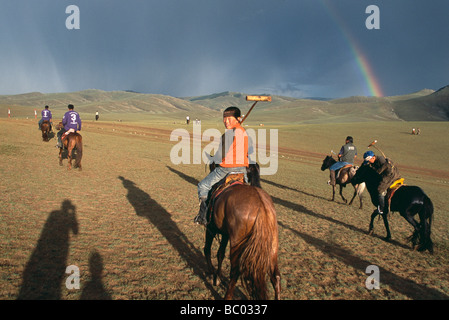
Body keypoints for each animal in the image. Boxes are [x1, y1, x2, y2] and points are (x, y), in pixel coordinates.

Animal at [204, 162, 280, 300]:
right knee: (275, 276)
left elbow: (207, 249)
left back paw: (227, 296)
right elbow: (220, 254)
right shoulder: (225, 234)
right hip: (273, 245)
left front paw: (213, 274)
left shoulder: (211, 228)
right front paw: (217, 277)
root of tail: (262, 207)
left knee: (235, 272)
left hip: (237, 243)